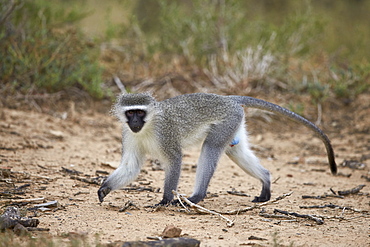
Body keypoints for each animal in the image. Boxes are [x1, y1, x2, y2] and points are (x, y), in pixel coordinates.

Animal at [97, 92, 336, 205]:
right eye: (130, 113)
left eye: (140, 112)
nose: (135, 122)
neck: (147, 127)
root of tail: (227, 99)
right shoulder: (128, 135)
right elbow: (130, 166)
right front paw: (105, 188)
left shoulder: (166, 134)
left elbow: (175, 160)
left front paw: (165, 200)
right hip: (234, 123)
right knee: (235, 151)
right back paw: (266, 181)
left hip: (227, 121)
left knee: (210, 147)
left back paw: (197, 197)